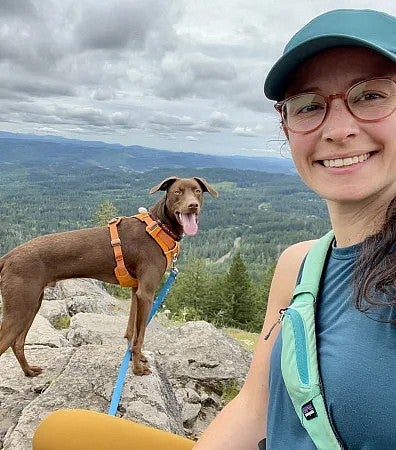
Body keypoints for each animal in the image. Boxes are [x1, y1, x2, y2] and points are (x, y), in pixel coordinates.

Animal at [0, 176, 217, 376]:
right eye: (177, 192)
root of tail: (8, 257)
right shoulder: (146, 293)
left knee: (17, 343)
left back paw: (29, 371)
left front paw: (136, 358)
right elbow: (140, 336)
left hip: (31, 305)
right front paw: (137, 369)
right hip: (20, 308)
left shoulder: (136, 291)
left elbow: (132, 332)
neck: (158, 227)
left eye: (197, 191)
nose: (193, 205)